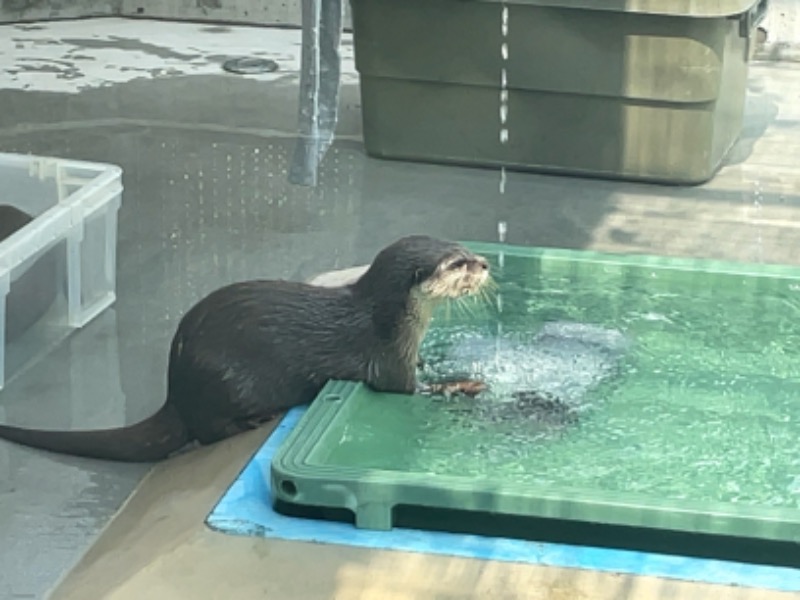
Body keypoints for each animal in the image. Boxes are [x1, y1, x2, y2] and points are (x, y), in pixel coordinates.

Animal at [0, 237, 488, 462]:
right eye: (457, 264)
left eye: (463, 249)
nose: (484, 263)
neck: (389, 320)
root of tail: (177, 390)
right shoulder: (386, 361)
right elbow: (410, 391)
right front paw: (463, 384)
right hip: (227, 380)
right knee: (209, 432)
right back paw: (255, 420)